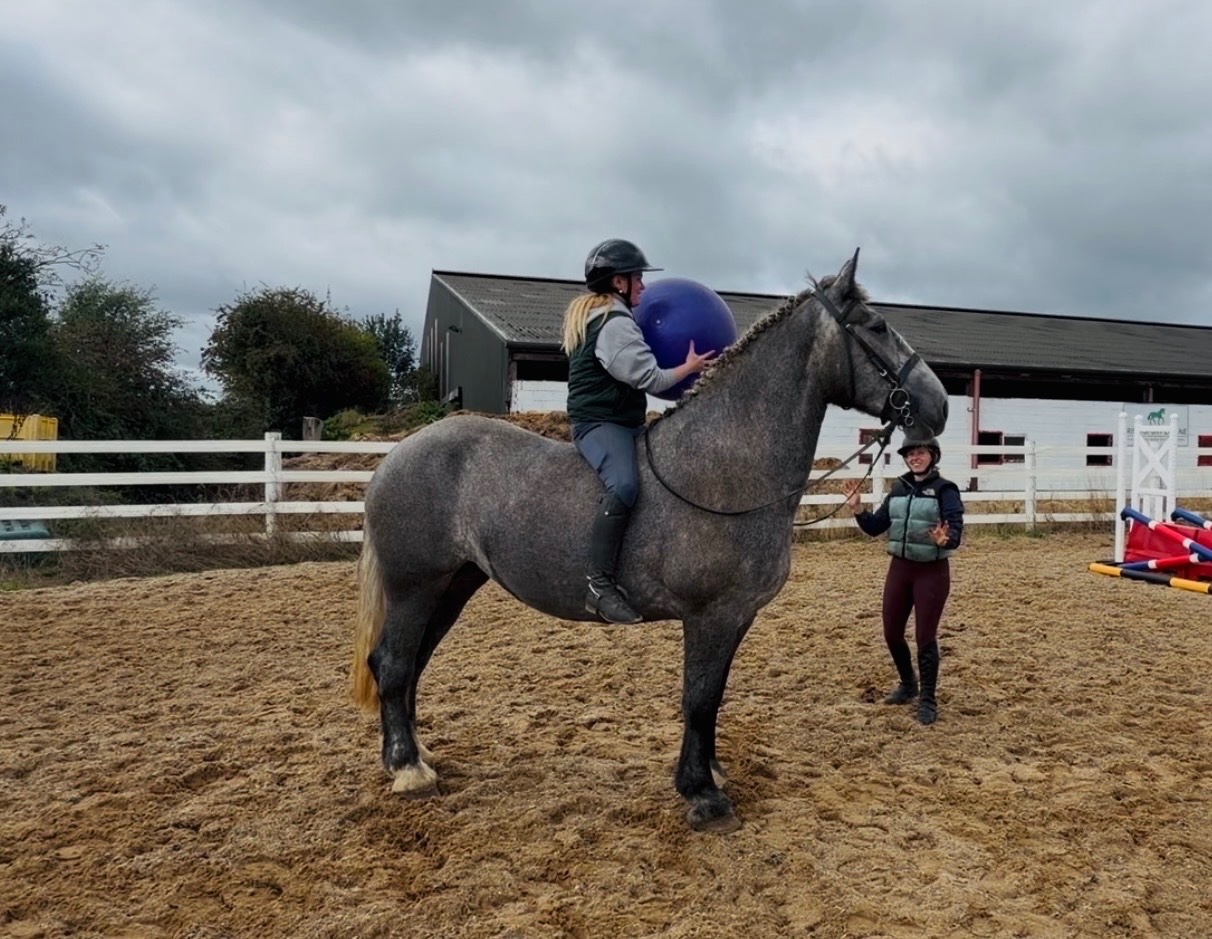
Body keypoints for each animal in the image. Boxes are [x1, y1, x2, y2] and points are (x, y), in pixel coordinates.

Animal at [350, 250, 949, 833]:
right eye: (876, 325)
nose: (938, 405)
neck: (727, 466)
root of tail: (396, 456)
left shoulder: (736, 616)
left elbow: (712, 697)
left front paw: (710, 772)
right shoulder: (712, 615)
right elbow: (699, 698)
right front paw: (703, 795)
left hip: (452, 586)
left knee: (408, 665)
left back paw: (415, 756)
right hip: (415, 587)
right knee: (395, 664)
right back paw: (408, 770)